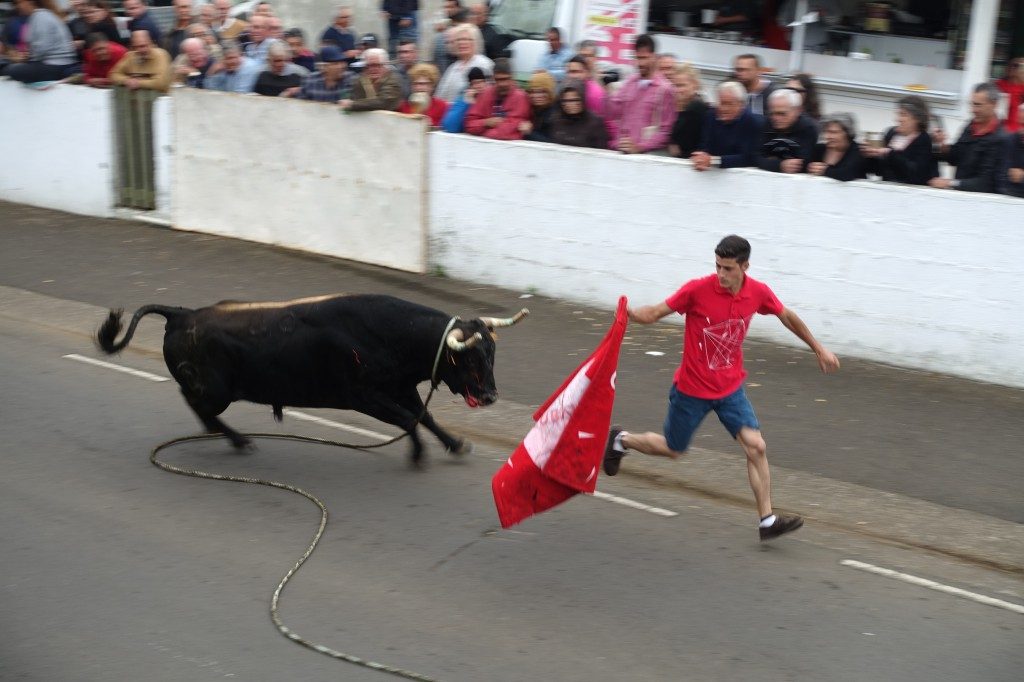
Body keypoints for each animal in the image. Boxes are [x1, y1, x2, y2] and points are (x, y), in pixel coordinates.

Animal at [95, 292, 528, 462]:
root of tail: (181, 315)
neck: (389, 334)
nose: (490, 396)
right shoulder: (362, 395)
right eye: (471, 359)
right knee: (195, 401)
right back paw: (237, 439)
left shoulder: (400, 387)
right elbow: (410, 420)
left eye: (492, 355)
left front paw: (455, 445)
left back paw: (229, 437)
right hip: (217, 390)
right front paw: (418, 454)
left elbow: (426, 416)